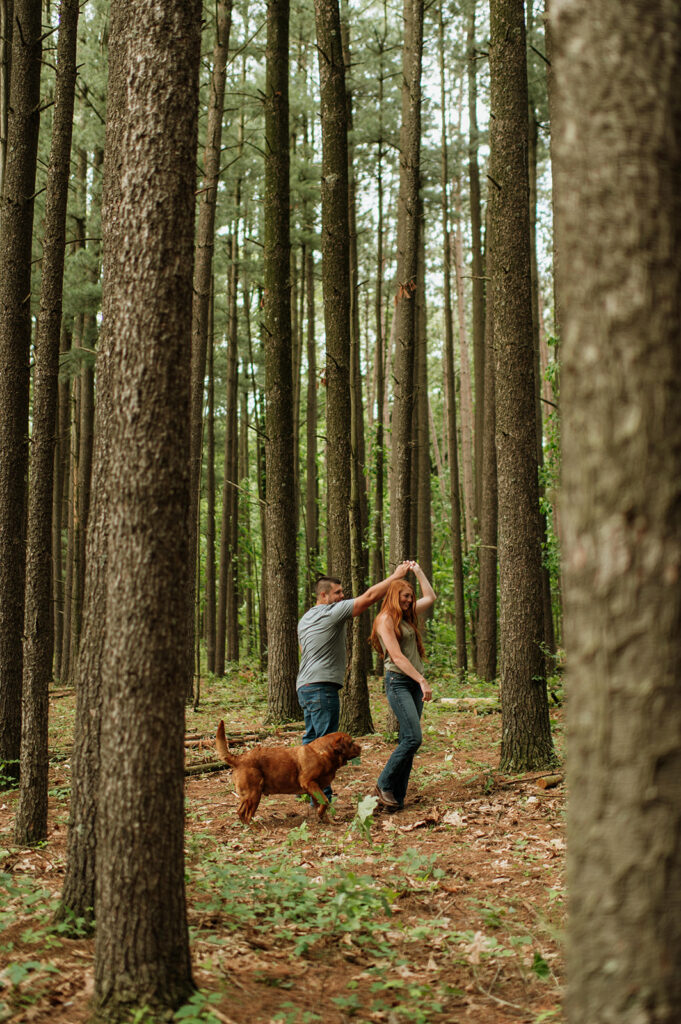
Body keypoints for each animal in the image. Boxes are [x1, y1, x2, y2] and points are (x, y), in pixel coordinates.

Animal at [216, 720, 360, 823]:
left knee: (244, 813)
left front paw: (325, 820)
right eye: (351, 742)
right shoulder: (308, 782)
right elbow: (325, 801)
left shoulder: (314, 788)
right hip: (253, 794)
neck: (323, 754)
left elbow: (320, 804)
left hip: (252, 796)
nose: (360, 747)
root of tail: (239, 758)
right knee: (243, 813)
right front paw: (321, 815)